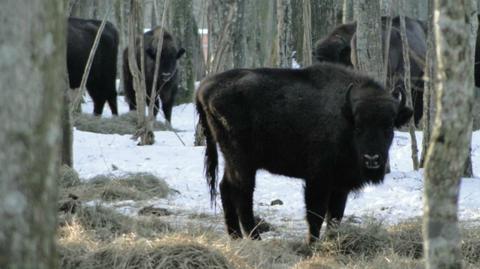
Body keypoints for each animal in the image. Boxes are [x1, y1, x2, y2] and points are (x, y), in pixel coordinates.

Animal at [195, 63, 412, 243]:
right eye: (358, 128)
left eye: (389, 127)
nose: (372, 159)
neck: (345, 116)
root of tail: (203, 89)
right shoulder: (318, 180)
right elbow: (316, 214)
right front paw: (312, 243)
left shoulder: (339, 185)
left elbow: (335, 216)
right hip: (243, 162)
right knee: (242, 193)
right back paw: (255, 238)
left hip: (232, 160)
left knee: (225, 187)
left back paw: (236, 236)